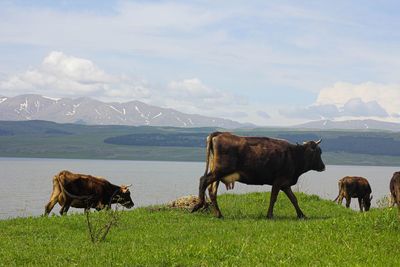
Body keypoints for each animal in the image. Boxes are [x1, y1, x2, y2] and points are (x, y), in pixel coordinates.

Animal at [191, 132, 324, 220]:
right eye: (319, 152)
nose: (323, 166)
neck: (294, 155)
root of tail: (220, 133)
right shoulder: (278, 181)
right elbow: (273, 198)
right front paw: (270, 215)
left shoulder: (285, 183)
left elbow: (294, 199)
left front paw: (302, 215)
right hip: (220, 170)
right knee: (203, 180)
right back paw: (198, 205)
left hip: (218, 173)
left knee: (212, 190)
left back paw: (219, 214)